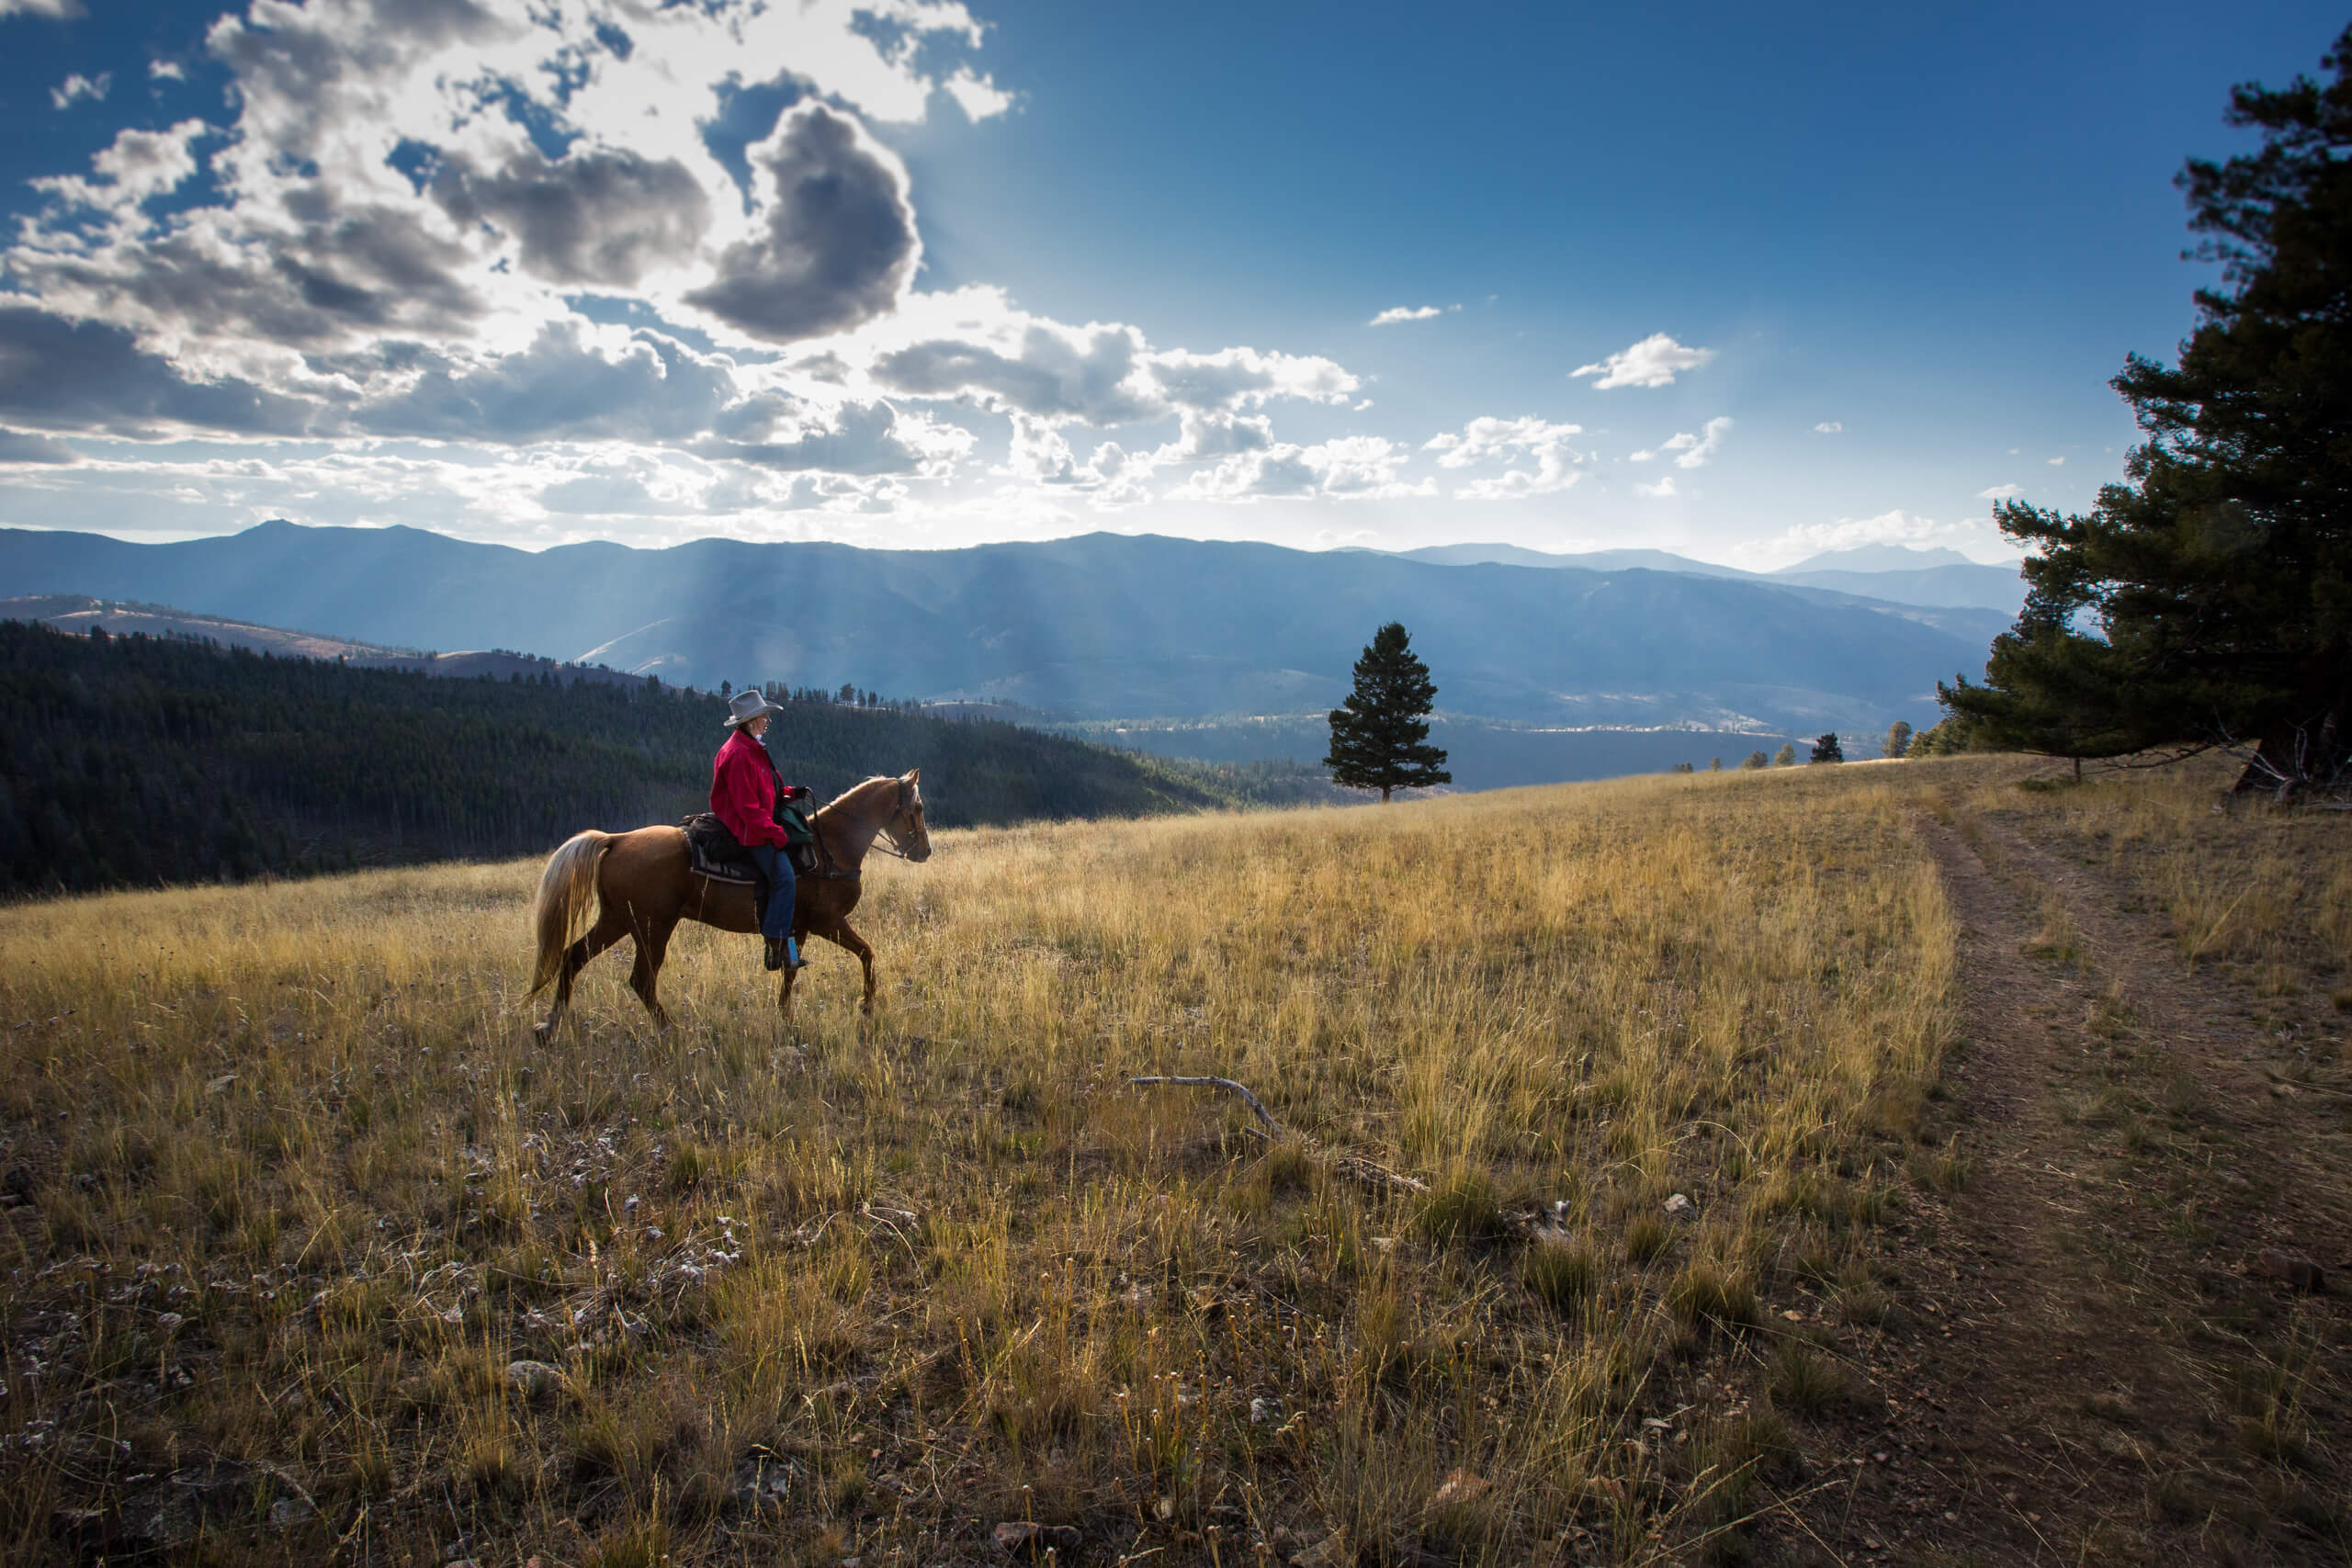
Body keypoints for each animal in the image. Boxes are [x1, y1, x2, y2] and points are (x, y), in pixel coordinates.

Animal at [529, 771, 931, 1043]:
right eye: (918, 808)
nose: (925, 851)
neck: (830, 846)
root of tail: (616, 839)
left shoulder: (797, 926)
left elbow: (790, 972)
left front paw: (786, 1018)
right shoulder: (827, 922)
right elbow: (867, 953)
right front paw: (866, 1007)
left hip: (617, 919)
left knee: (572, 958)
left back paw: (549, 1028)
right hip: (652, 926)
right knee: (641, 980)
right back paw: (671, 1030)